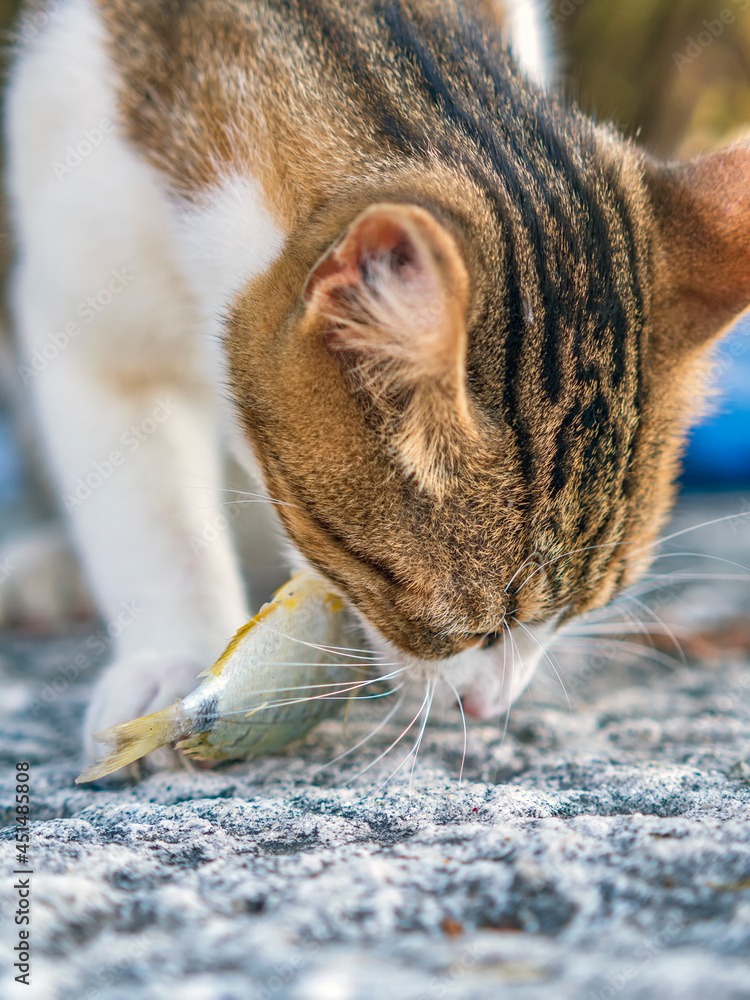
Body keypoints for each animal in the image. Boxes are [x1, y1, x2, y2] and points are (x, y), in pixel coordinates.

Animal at [5, 0, 750, 764]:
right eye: (466, 628)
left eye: (584, 610)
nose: (489, 707)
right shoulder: (79, 293)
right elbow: (153, 523)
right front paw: (169, 665)